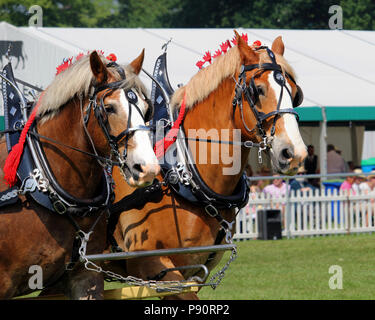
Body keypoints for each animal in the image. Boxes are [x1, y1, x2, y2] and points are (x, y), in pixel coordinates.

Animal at [108, 31, 308, 298]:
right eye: (258, 90)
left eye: (296, 93)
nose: (294, 153)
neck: (182, 177)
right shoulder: (153, 266)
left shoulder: (195, 270)